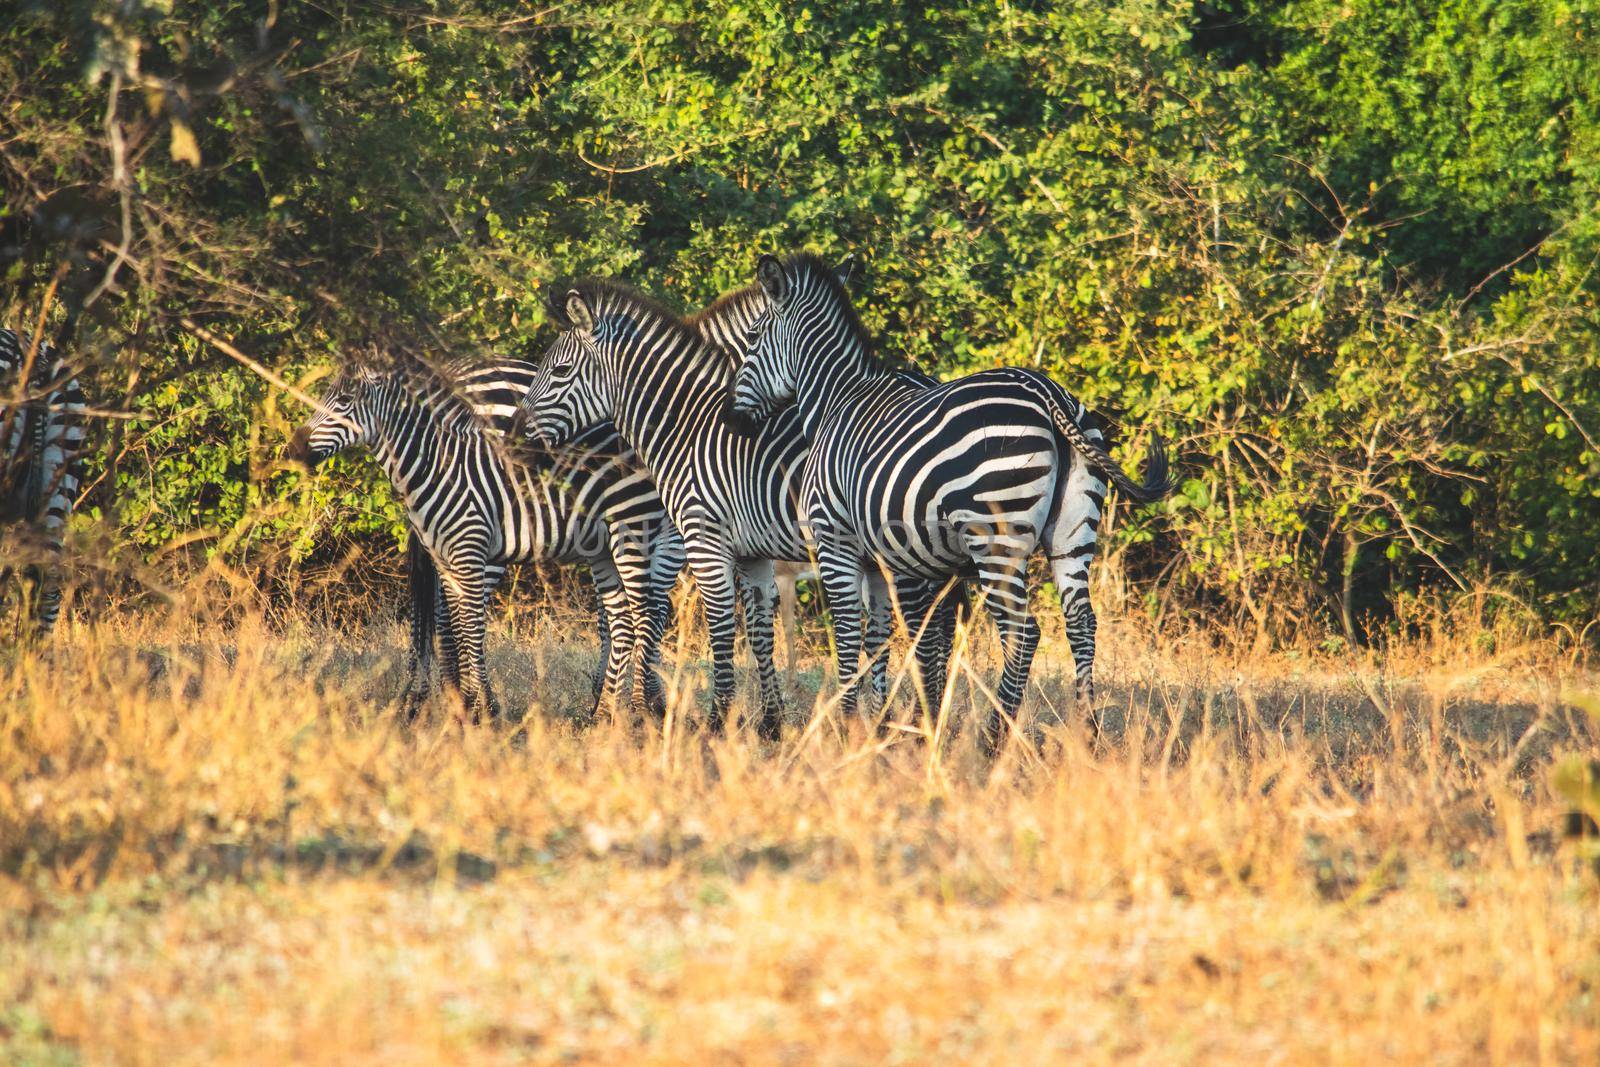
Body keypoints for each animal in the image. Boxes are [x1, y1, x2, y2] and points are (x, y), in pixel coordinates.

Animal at [518, 275, 953, 742]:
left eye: (560, 371)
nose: (513, 431)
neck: (688, 428)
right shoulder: (749, 550)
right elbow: (756, 631)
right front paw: (769, 721)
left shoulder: (684, 537)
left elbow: (678, 619)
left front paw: (654, 713)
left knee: (928, 624)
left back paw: (922, 721)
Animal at [729, 252, 1177, 751]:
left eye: (752, 339)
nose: (733, 418)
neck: (833, 402)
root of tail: (1047, 392)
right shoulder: (883, 558)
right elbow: (887, 639)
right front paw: (888, 726)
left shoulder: (835, 539)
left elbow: (848, 632)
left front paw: (847, 726)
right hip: (1073, 532)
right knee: (1081, 624)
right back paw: (1087, 734)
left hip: (996, 536)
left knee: (1023, 632)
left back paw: (995, 737)